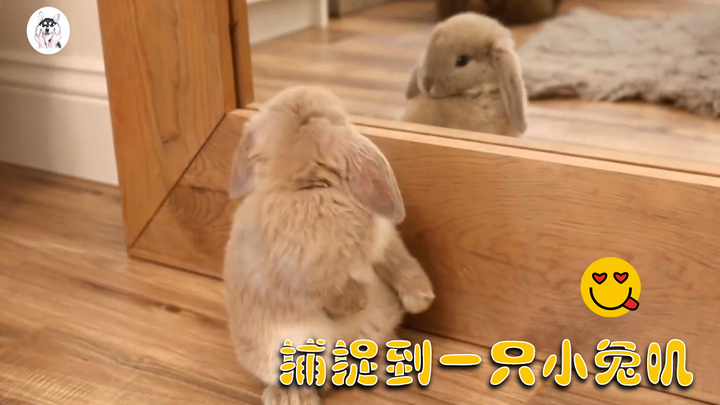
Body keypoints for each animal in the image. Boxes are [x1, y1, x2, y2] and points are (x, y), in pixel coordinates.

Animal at [224, 86, 435, 405]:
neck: (308, 187)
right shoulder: (304, 272)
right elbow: (330, 289)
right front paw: (356, 302)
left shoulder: (382, 243)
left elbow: (399, 264)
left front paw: (421, 300)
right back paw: (294, 396)